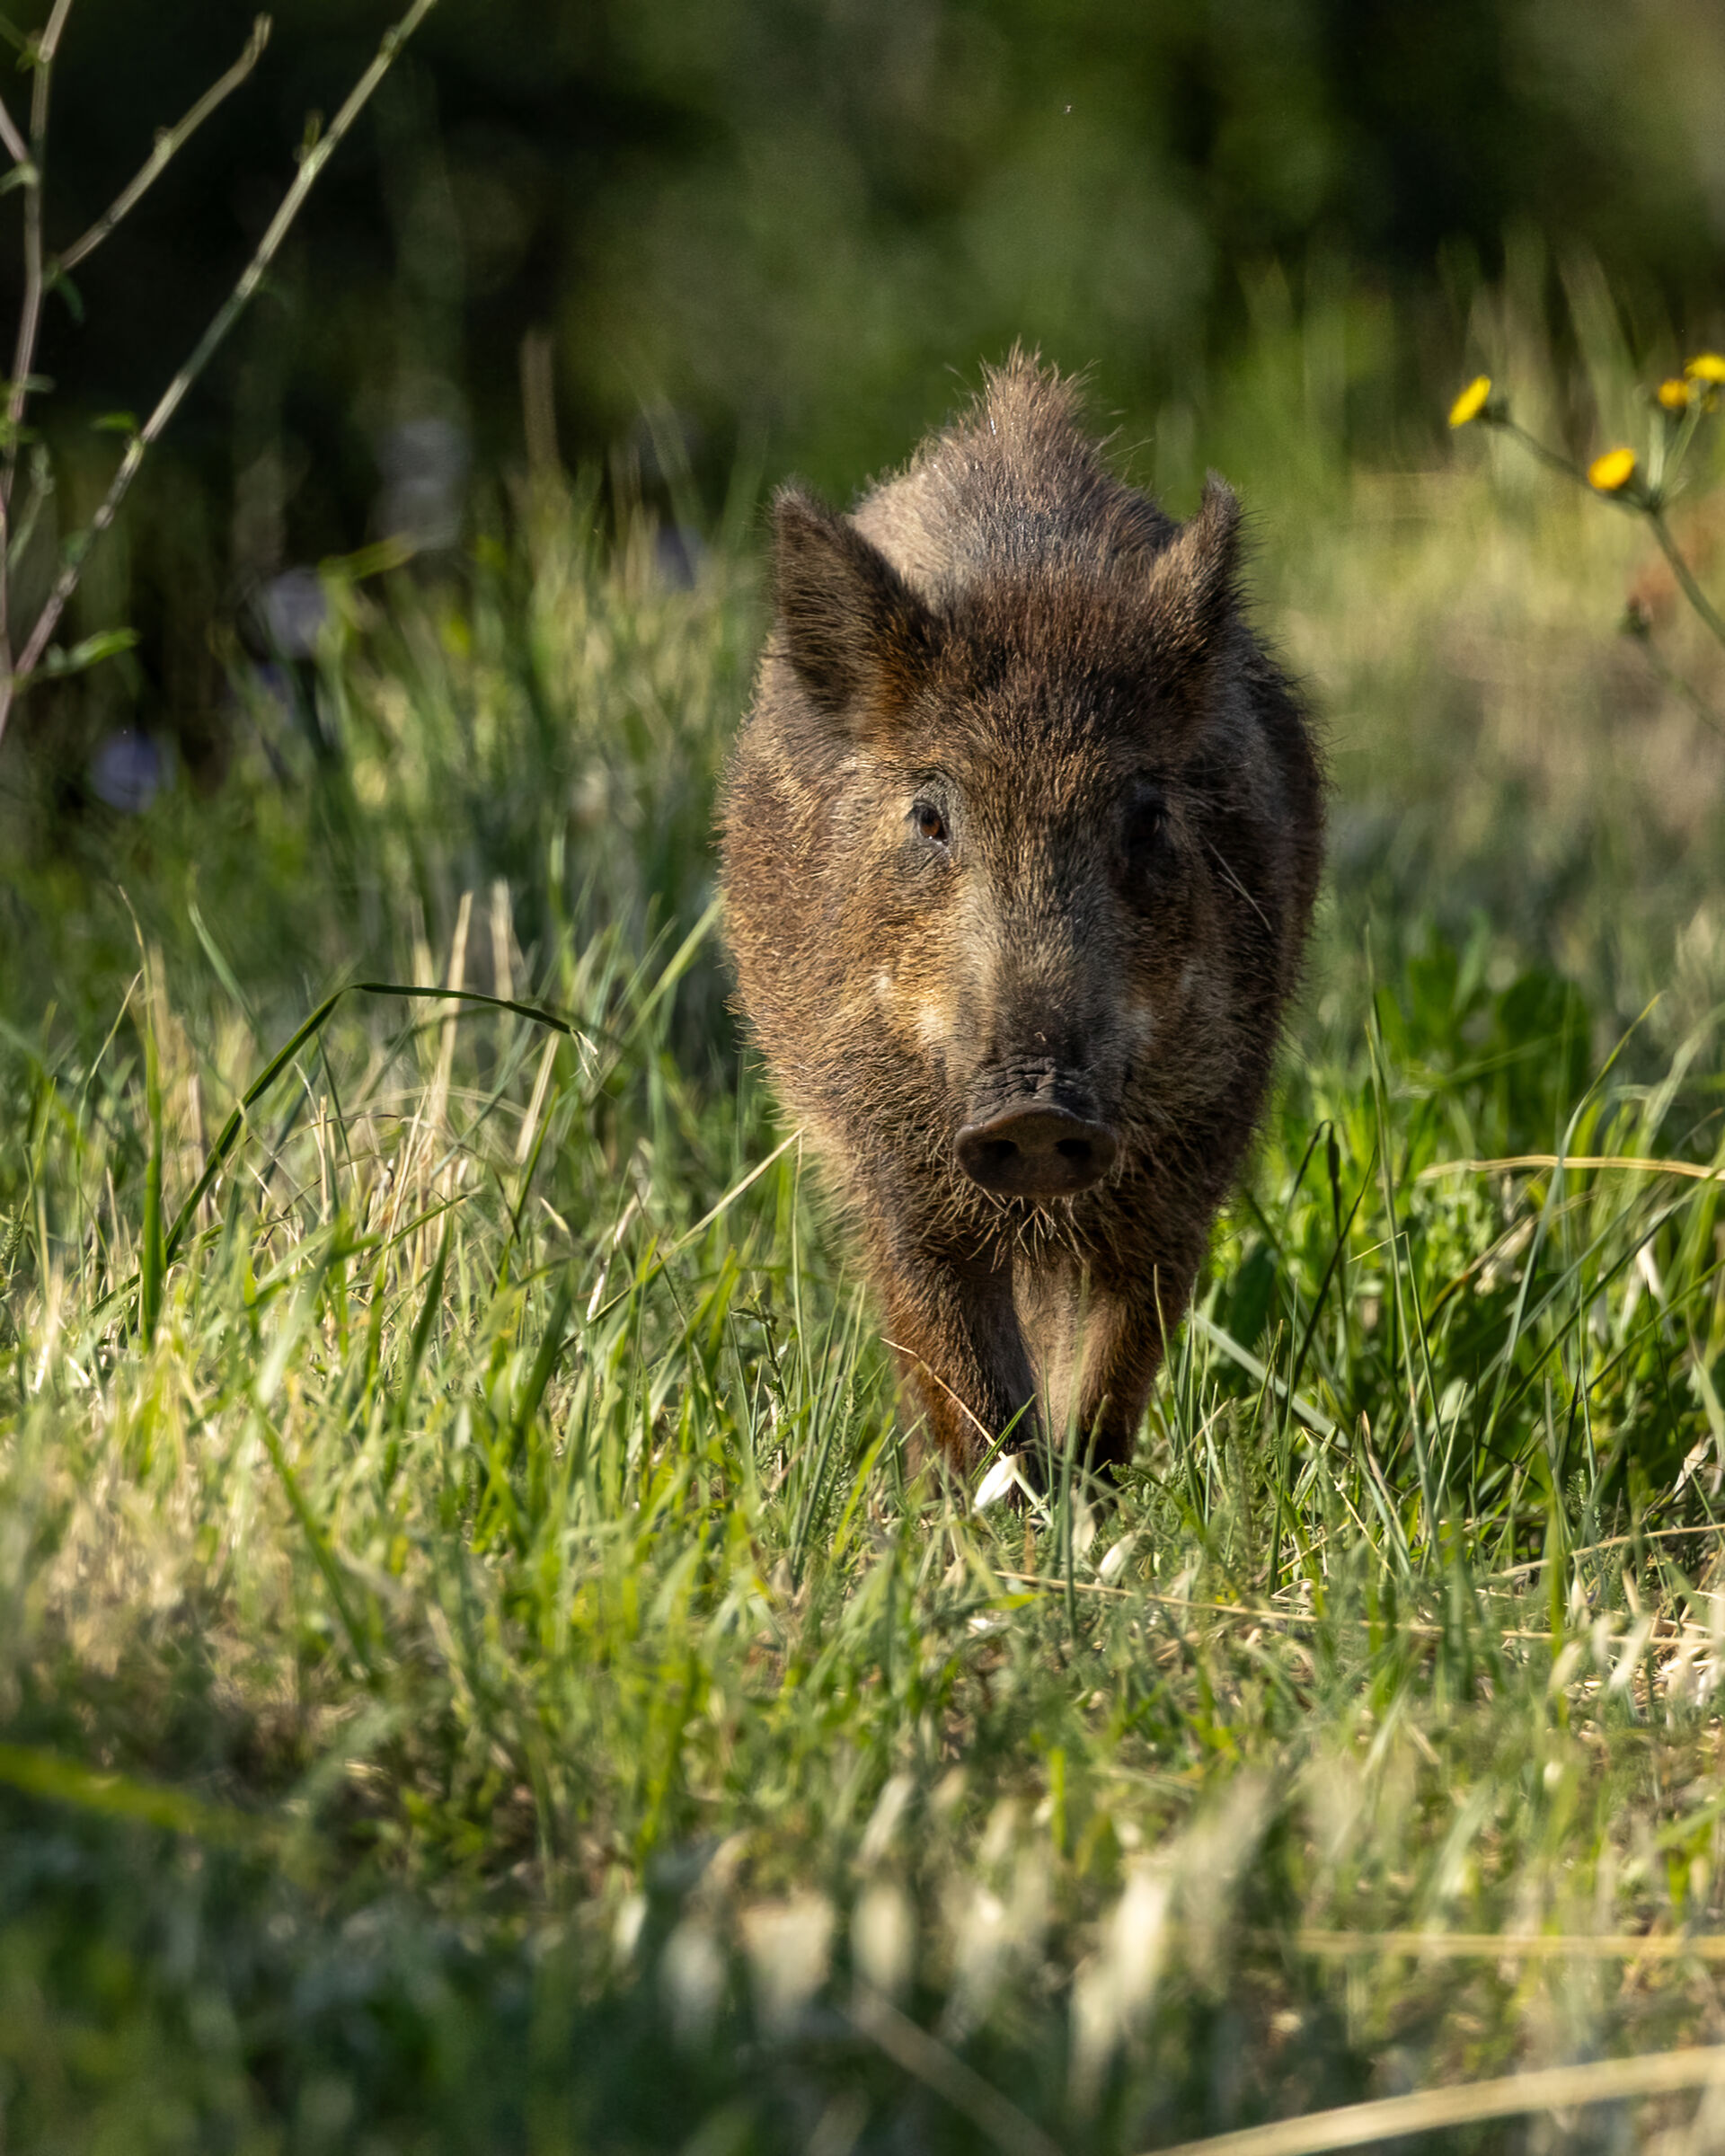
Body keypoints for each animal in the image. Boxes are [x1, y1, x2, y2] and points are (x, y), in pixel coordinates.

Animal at [719, 356, 1323, 1480]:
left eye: (1146, 813)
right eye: (931, 814)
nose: (1036, 1109)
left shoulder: (1193, 1156)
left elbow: (1110, 1382)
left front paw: (1084, 1504)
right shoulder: (891, 1167)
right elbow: (970, 1385)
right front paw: (996, 1504)